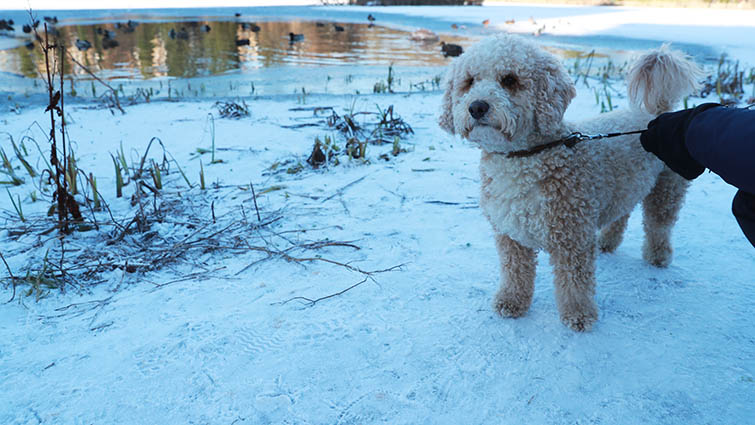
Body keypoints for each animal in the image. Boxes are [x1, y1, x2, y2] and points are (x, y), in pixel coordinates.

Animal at [440, 34, 704, 332]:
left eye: (509, 79)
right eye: (469, 81)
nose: (477, 107)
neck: (526, 155)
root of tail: (656, 115)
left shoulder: (572, 236)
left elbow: (575, 282)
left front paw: (579, 315)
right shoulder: (510, 234)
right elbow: (514, 271)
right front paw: (511, 302)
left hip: (666, 189)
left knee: (659, 225)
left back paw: (658, 256)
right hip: (623, 186)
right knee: (621, 215)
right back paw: (607, 242)